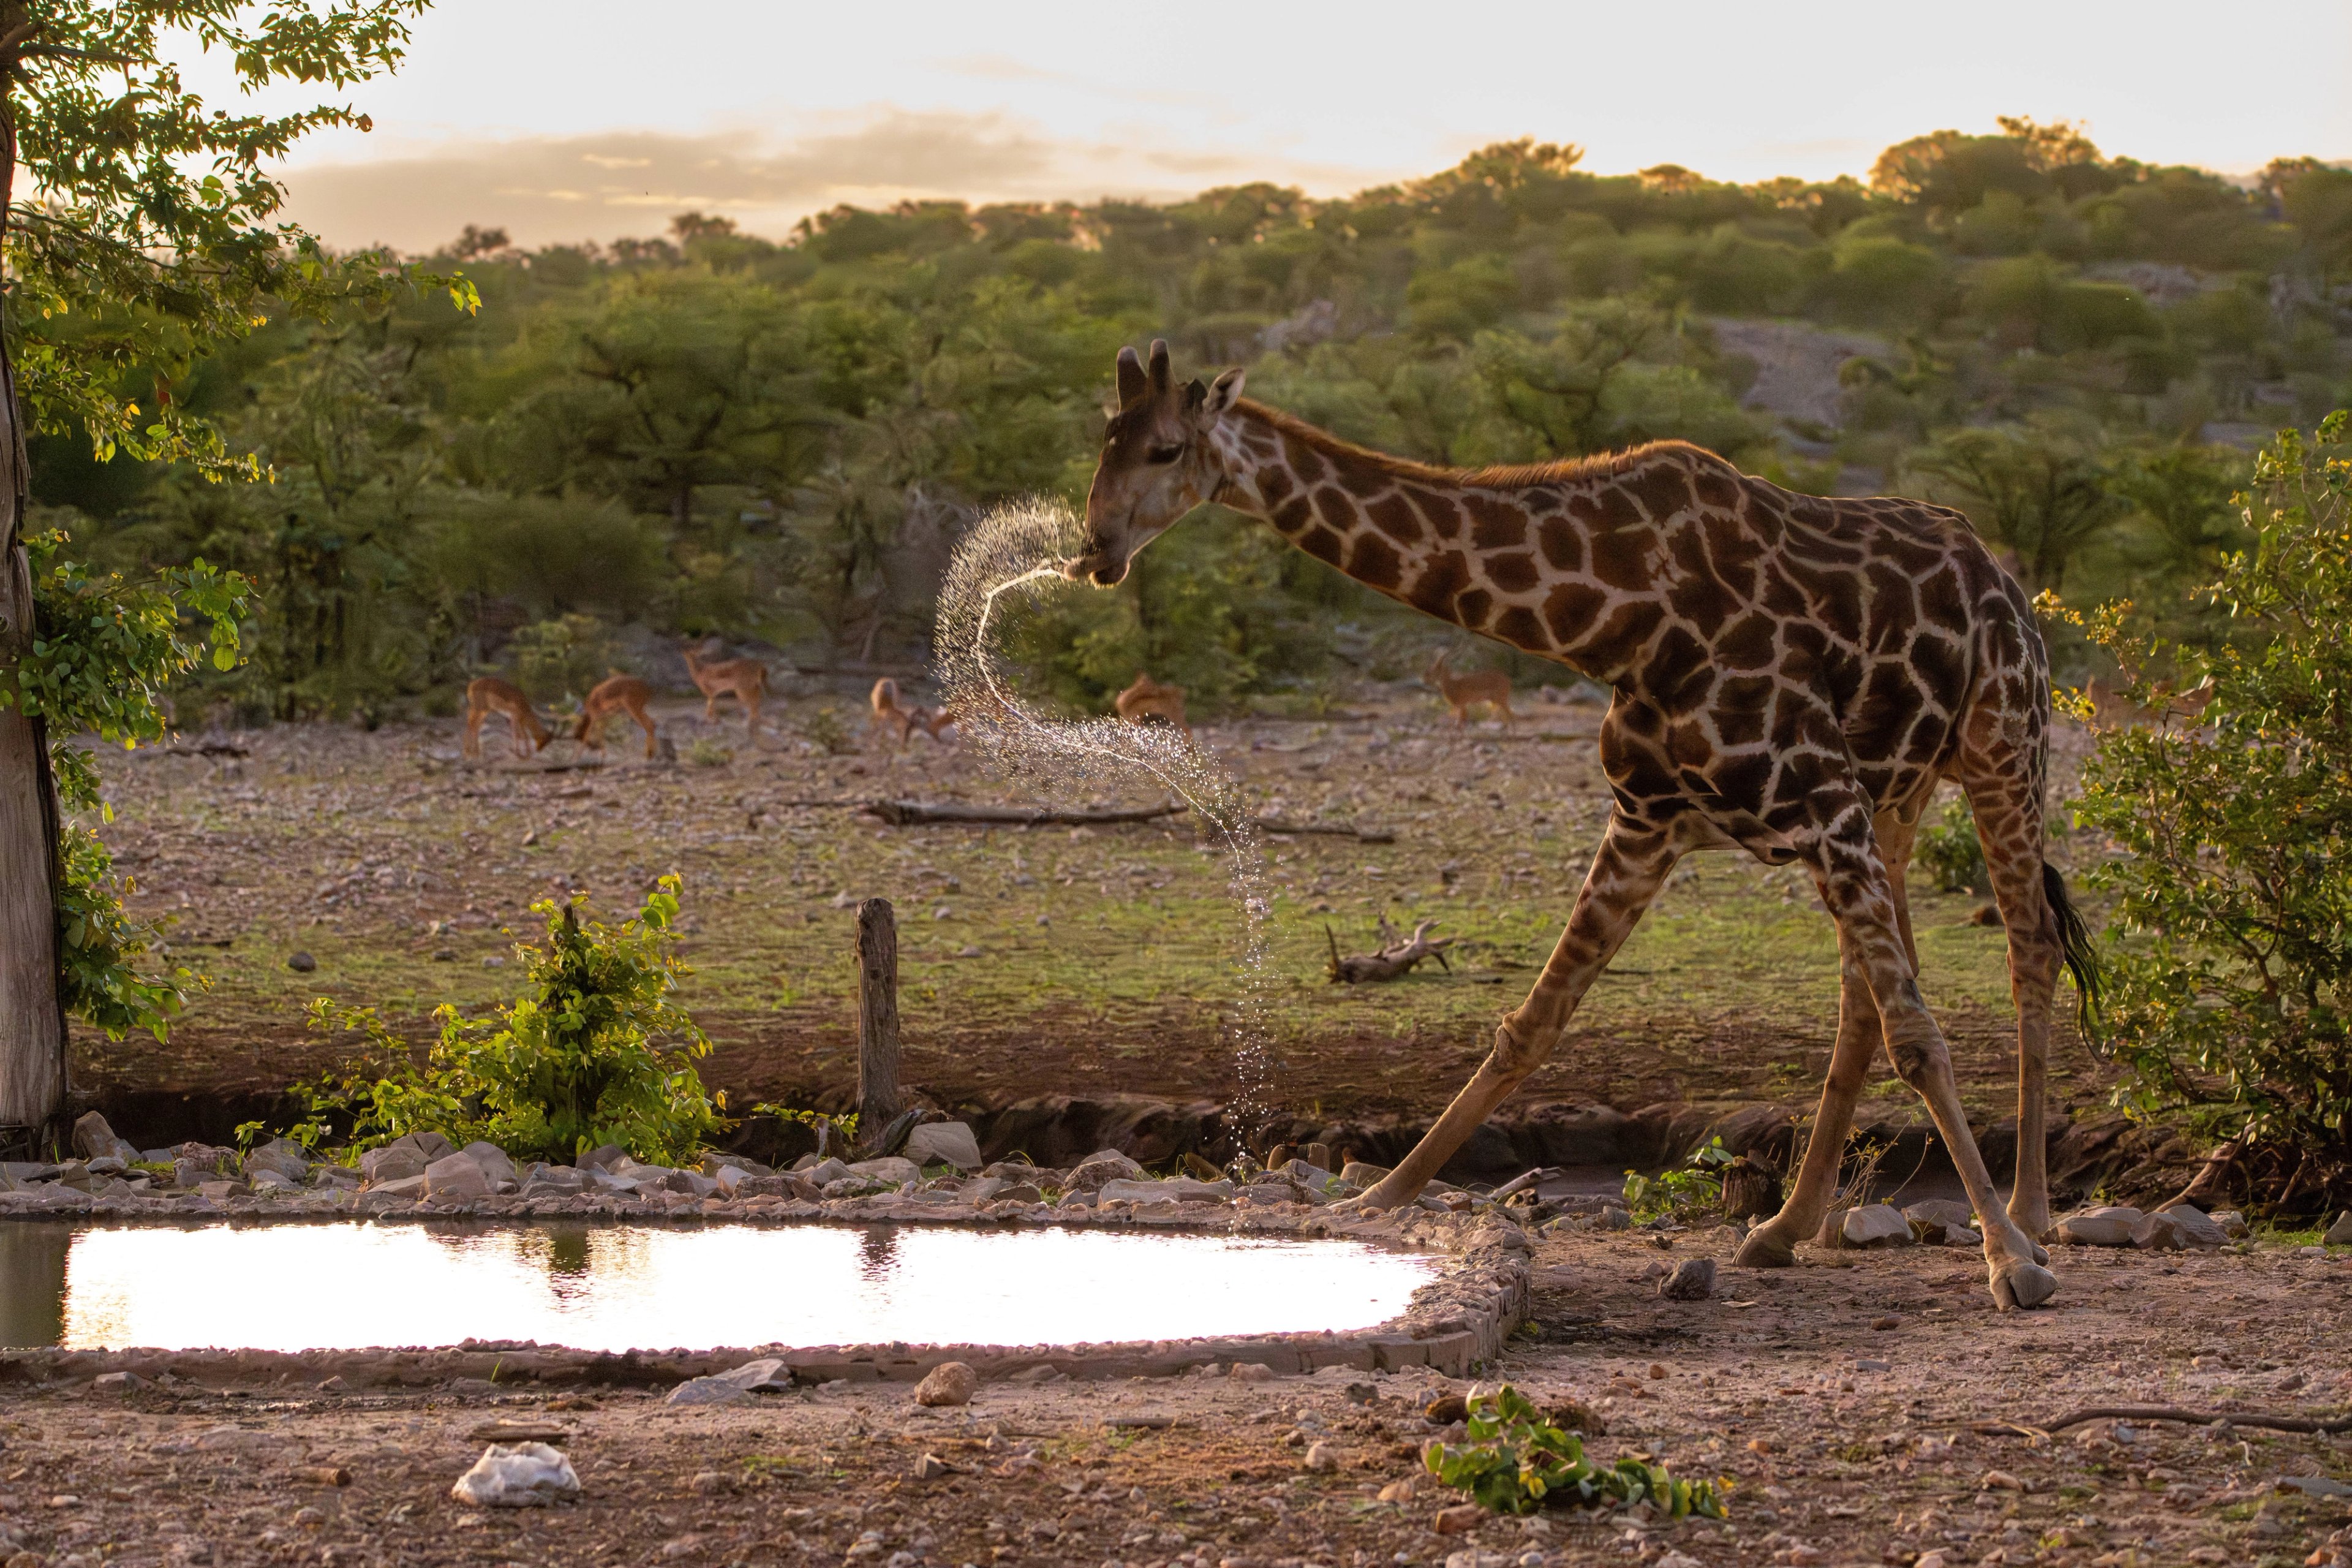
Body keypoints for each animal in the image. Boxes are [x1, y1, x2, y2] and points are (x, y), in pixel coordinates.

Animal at [1066, 341, 2099, 1311]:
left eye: (1165, 448)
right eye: (1103, 442)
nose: (1095, 549)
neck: (1619, 622)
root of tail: (2008, 584)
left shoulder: (1819, 797)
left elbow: (1920, 1036)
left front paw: (2009, 1260)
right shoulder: (1652, 820)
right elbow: (1532, 1024)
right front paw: (1378, 1198)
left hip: (2003, 749)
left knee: (2028, 948)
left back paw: (2034, 1216)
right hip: (1899, 794)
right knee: (1867, 996)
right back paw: (1784, 1227)